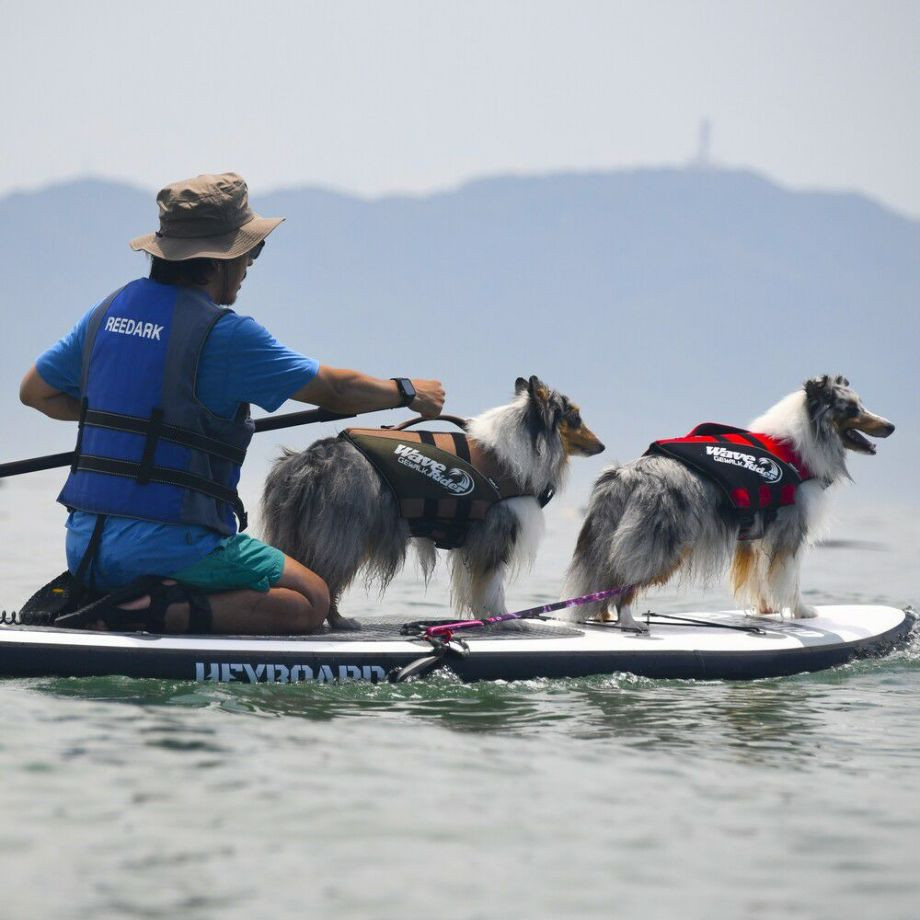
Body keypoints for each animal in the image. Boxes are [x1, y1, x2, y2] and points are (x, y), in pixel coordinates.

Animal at [260, 378, 604, 628]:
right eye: (575, 417)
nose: (602, 446)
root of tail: (311, 458)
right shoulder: (494, 532)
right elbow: (493, 585)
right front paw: (506, 621)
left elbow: (474, 585)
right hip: (342, 533)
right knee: (327, 579)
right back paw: (341, 621)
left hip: (296, 532)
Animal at [564, 376, 896, 632]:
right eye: (852, 409)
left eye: (862, 404)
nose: (891, 426)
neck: (798, 448)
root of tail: (625, 474)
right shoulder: (791, 530)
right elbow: (790, 577)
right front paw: (802, 611)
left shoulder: (754, 537)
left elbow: (759, 578)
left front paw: (765, 610)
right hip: (661, 544)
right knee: (625, 582)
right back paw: (629, 621)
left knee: (604, 579)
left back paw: (602, 616)